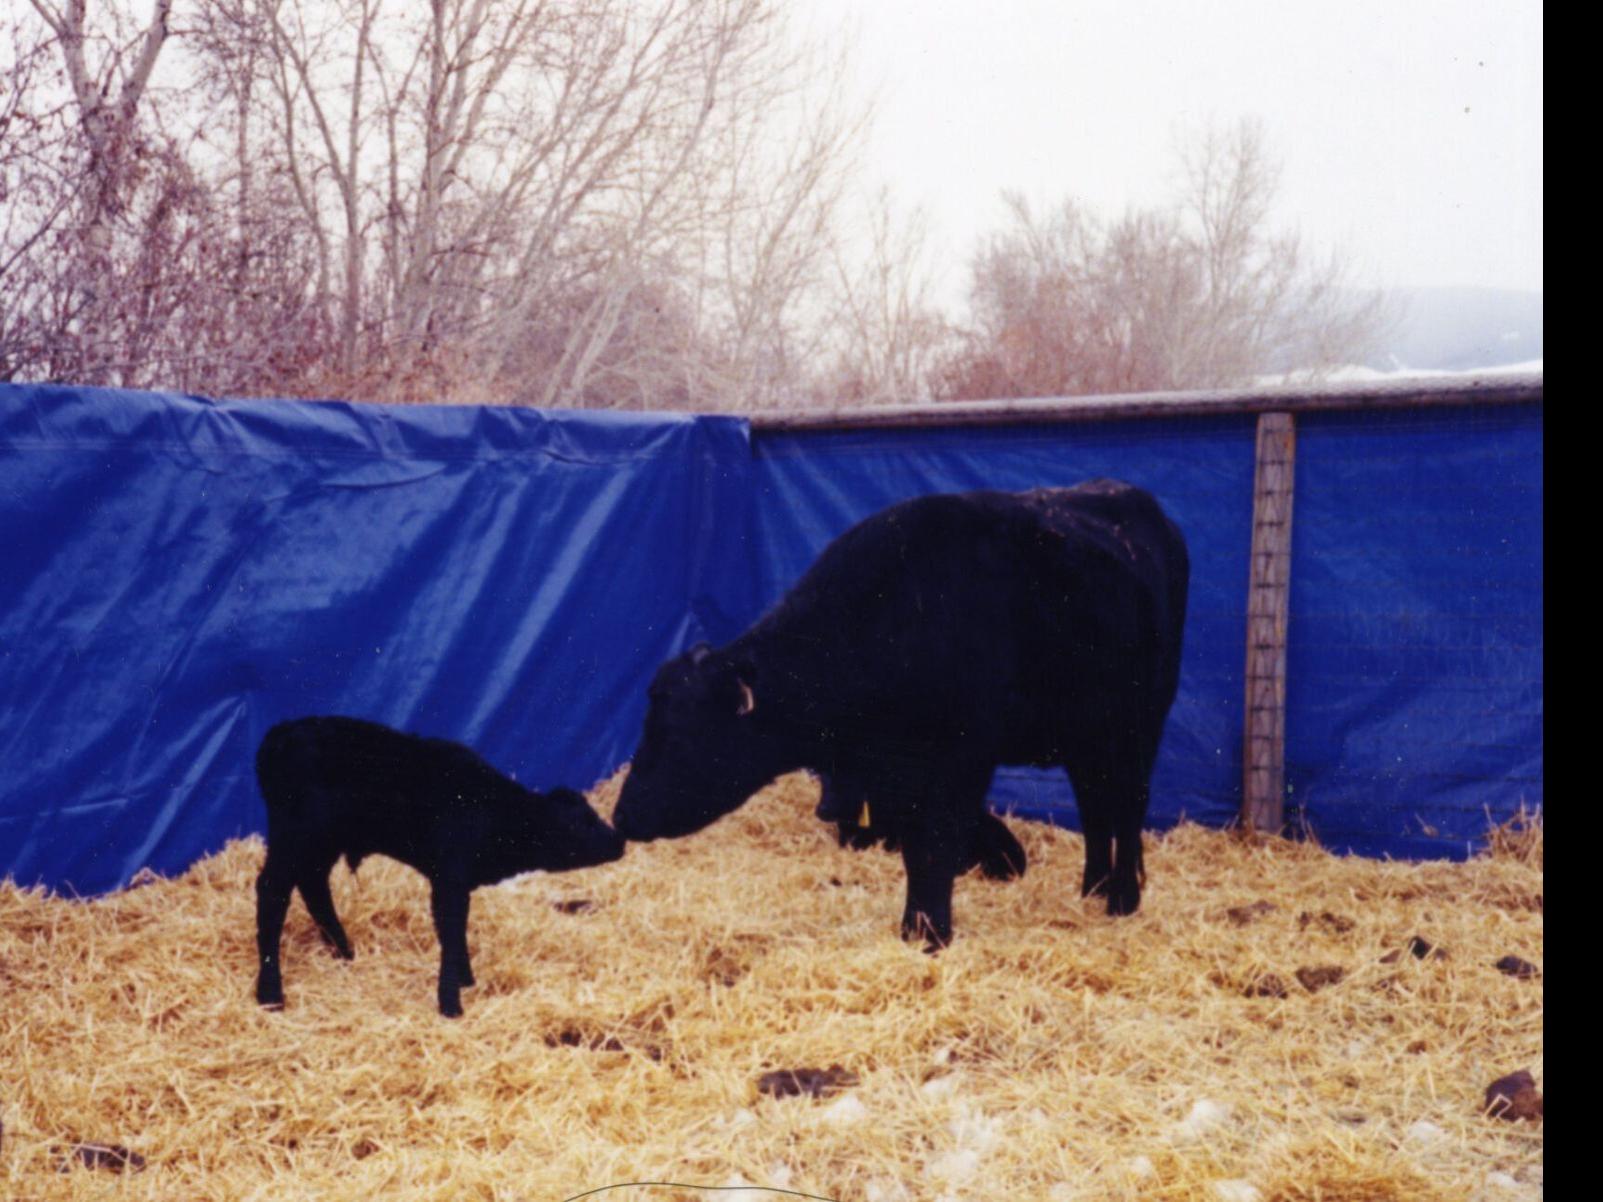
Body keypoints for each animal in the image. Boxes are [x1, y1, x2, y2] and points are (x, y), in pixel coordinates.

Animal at [253, 716, 625, 1016]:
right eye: (578, 824)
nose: (618, 840)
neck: (491, 810)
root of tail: (281, 731)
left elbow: (456, 933)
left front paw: (466, 980)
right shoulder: (449, 879)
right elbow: (451, 931)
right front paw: (451, 1003)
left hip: (321, 844)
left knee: (313, 885)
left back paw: (343, 951)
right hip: (295, 837)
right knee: (272, 892)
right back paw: (270, 993)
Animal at [611, 479, 1189, 948]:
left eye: (682, 734)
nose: (622, 814)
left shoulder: (963, 758)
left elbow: (938, 841)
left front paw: (933, 933)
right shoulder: (896, 777)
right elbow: (915, 846)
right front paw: (916, 926)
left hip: (1142, 719)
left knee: (1128, 804)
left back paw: (1122, 898)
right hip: (1085, 735)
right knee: (1094, 806)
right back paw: (1091, 888)